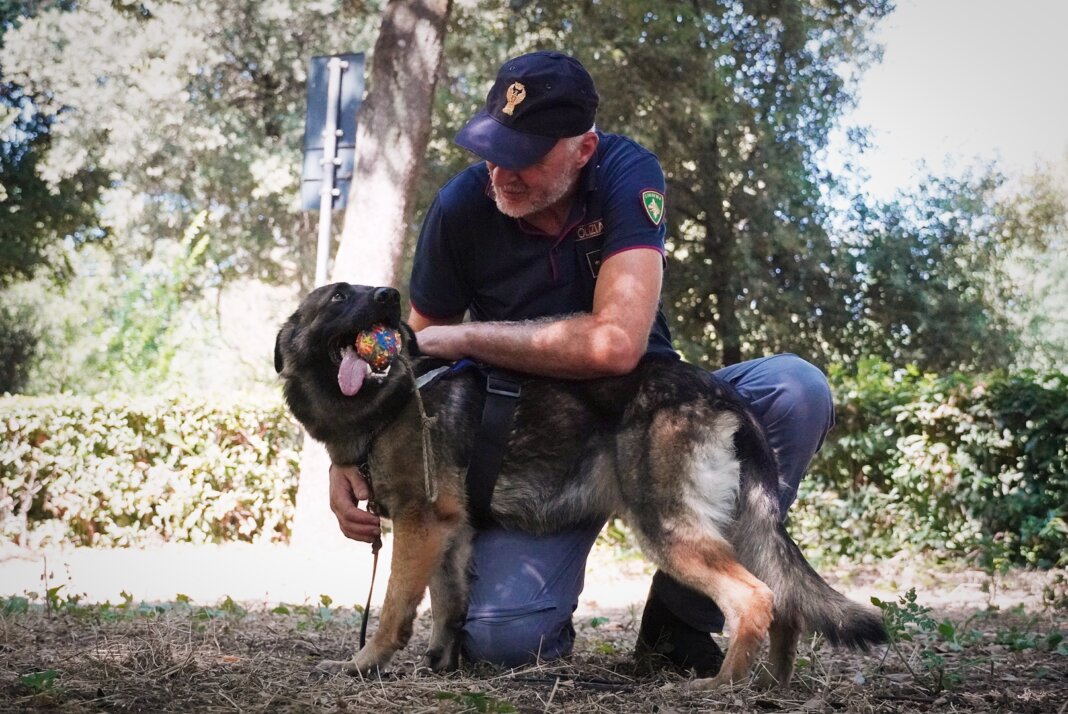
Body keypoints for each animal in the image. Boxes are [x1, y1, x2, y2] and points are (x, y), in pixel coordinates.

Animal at [273, 281, 884, 687]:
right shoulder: (450, 532)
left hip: (666, 527)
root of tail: (719, 393)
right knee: (786, 602)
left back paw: (723, 688)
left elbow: (396, 607)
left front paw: (365, 663)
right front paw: (444, 665)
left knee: (755, 597)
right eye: (339, 297)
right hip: (731, 526)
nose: (389, 296)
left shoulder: (419, 524)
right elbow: (449, 605)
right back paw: (772, 687)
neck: (394, 398)